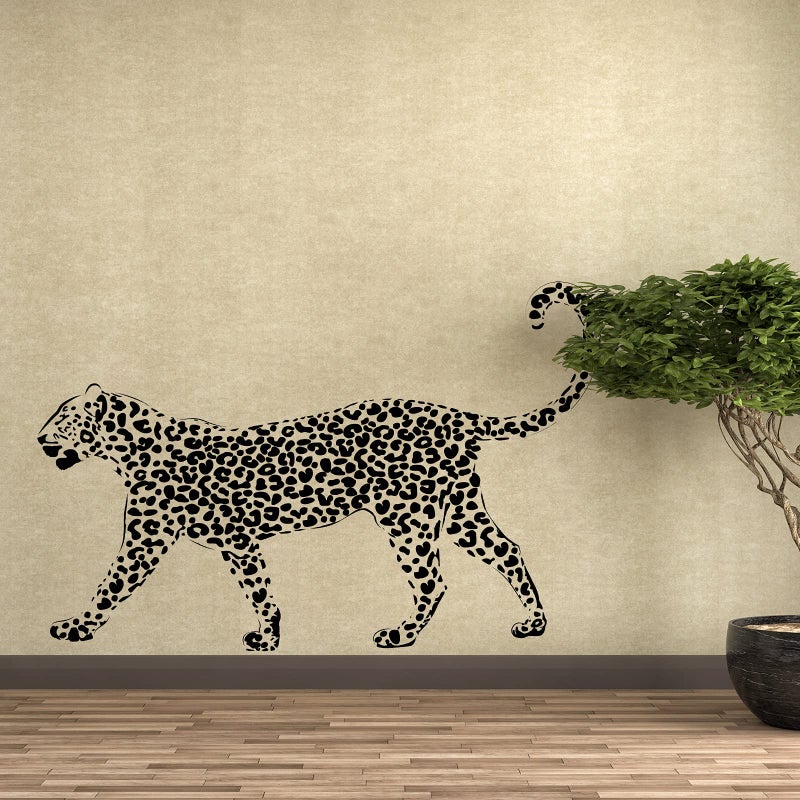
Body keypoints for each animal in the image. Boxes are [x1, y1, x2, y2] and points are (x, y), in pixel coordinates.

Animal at [37, 282, 588, 651]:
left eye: (63, 418)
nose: (39, 440)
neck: (131, 448)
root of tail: (452, 413)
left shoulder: (149, 542)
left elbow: (110, 586)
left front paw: (75, 628)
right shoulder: (238, 544)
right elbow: (259, 590)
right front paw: (269, 636)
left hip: (407, 518)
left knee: (433, 581)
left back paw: (399, 635)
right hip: (459, 512)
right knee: (508, 550)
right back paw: (534, 624)